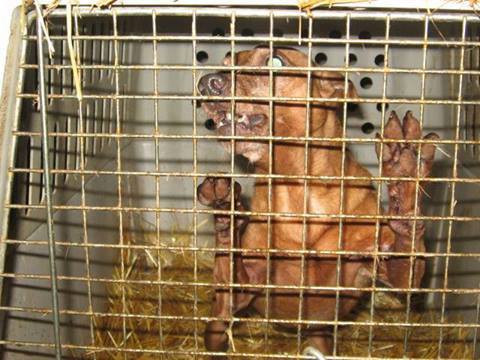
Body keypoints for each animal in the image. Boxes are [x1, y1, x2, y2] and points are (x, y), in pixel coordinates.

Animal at [195, 47, 438, 358]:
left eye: (275, 61)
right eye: (226, 62)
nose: (206, 82)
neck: (298, 192)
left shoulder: (393, 274)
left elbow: (405, 252)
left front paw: (404, 169)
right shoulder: (242, 286)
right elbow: (230, 260)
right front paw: (226, 213)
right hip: (218, 325)